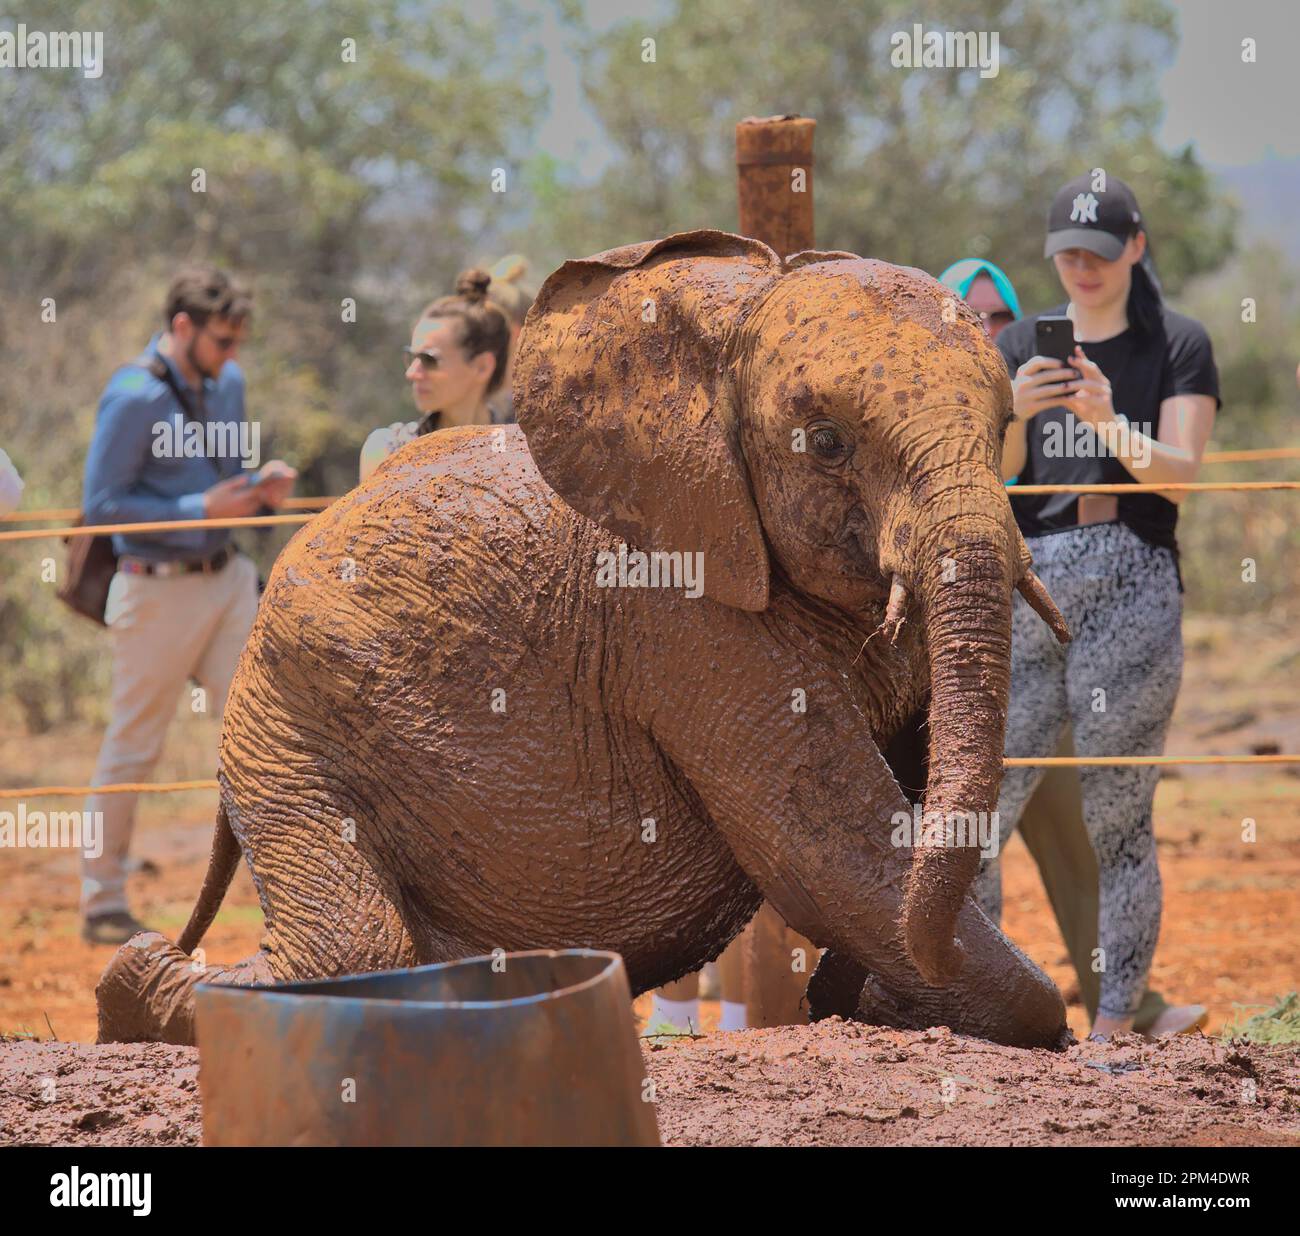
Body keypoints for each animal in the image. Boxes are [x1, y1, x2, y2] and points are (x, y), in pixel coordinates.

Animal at [98, 230, 1076, 1044]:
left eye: (1004, 428)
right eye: (828, 442)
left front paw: (868, 995)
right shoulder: (682, 617)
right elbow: (832, 850)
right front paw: (893, 991)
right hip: (284, 721)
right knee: (356, 953)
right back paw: (132, 981)